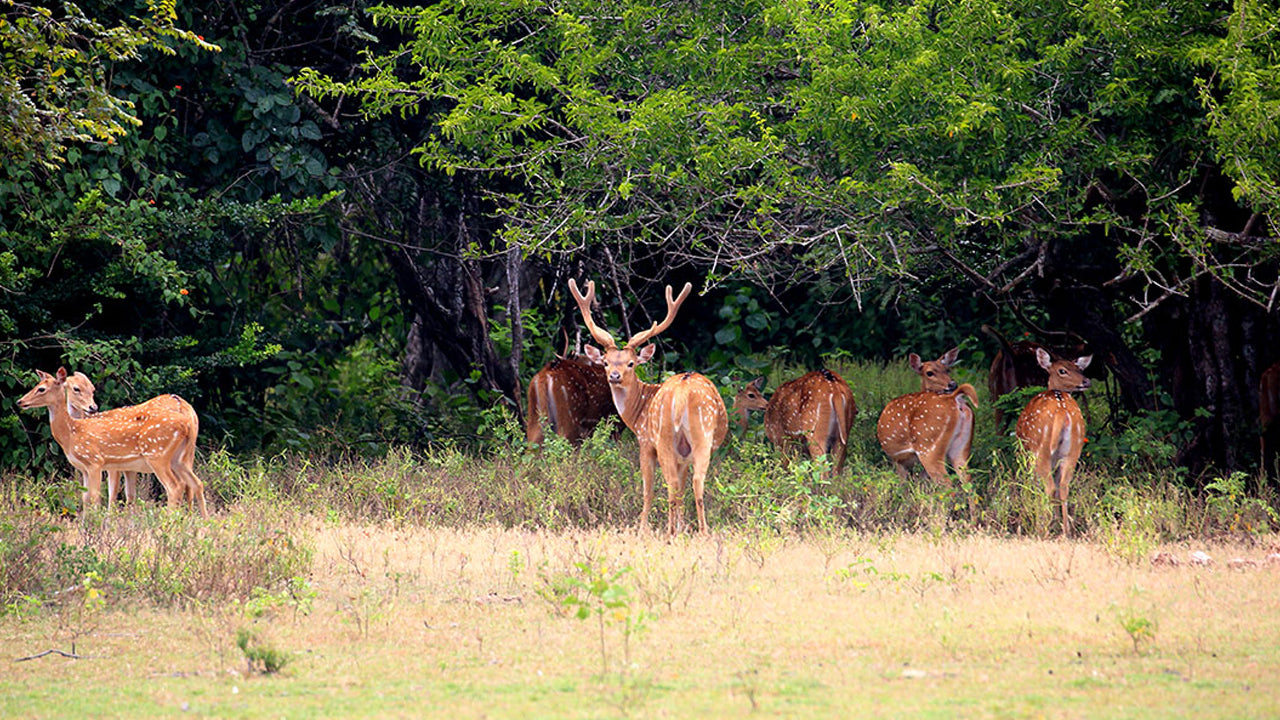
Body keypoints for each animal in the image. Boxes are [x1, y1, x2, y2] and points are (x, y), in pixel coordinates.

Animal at [16, 366, 207, 512]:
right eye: (77, 388)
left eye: (41, 389)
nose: (20, 401)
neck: (72, 433)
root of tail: (186, 416)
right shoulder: (93, 468)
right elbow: (92, 496)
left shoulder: (98, 462)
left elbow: (102, 496)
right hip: (181, 457)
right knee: (195, 483)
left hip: (157, 455)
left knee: (175, 487)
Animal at [570, 275, 732, 532]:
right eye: (605, 362)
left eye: (631, 363)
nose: (614, 376)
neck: (638, 413)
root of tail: (683, 393)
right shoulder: (683, 456)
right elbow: (681, 490)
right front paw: (682, 526)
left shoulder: (645, 441)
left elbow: (648, 489)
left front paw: (642, 528)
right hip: (701, 437)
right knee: (695, 481)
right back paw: (699, 531)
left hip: (666, 436)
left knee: (672, 483)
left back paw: (672, 532)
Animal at [880, 345, 977, 484]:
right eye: (929, 373)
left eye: (947, 370)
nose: (952, 384)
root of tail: (954, 397)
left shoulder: (897, 459)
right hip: (961, 447)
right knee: (967, 479)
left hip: (928, 446)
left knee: (947, 482)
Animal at [1008, 348, 1090, 532]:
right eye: (1063, 370)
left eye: (1079, 369)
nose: (1086, 380)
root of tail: (1062, 411)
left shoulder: (1025, 455)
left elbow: (1032, 486)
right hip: (1073, 449)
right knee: (1063, 487)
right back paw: (1065, 531)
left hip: (1041, 450)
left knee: (1049, 487)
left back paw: (1042, 529)